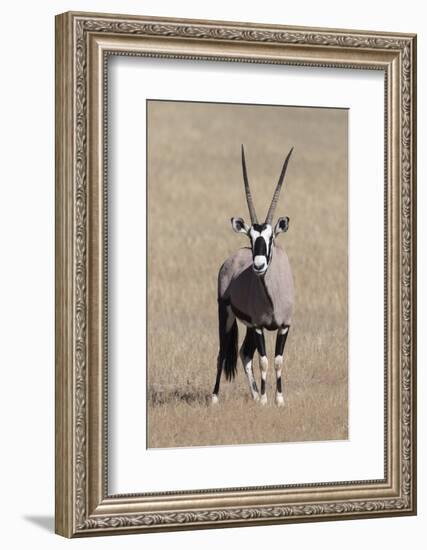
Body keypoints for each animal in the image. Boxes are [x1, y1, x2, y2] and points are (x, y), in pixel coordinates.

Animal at [213, 149, 294, 408]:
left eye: (271, 237)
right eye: (251, 236)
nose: (258, 265)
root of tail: (232, 258)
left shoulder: (284, 326)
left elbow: (277, 360)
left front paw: (278, 399)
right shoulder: (259, 326)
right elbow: (264, 361)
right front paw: (266, 400)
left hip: (246, 324)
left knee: (244, 353)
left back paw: (255, 393)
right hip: (226, 313)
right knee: (223, 352)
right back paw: (215, 397)